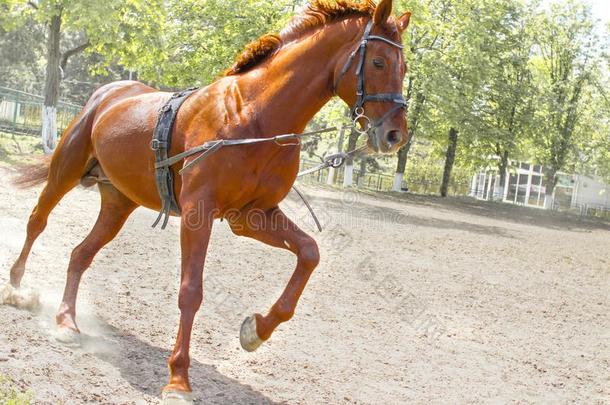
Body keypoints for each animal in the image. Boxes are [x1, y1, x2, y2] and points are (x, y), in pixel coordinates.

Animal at [4, 0, 408, 400]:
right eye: (378, 62)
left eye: (404, 67)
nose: (394, 135)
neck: (254, 118)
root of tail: (107, 95)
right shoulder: (198, 214)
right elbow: (191, 292)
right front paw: (178, 379)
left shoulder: (252, 217)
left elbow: (309, 253)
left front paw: (256, 330)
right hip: (65, 172)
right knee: (37, 220)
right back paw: (16, 287)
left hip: (118, 204)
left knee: (80, 254)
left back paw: (66, 321)